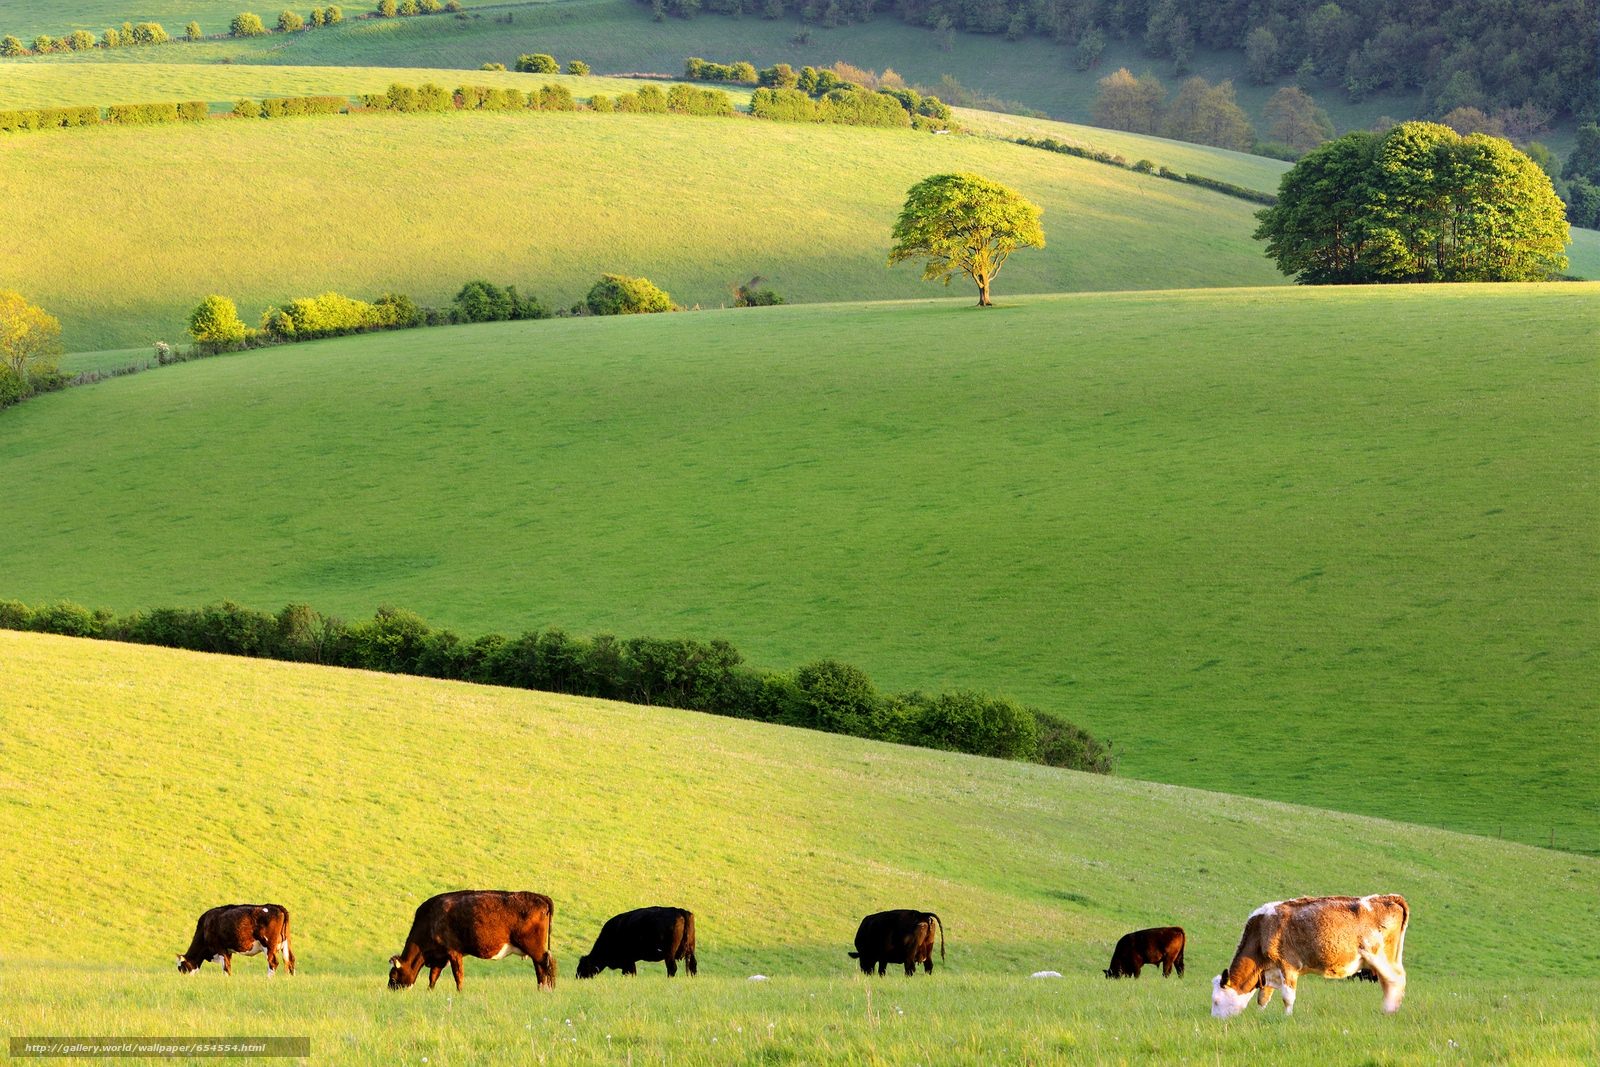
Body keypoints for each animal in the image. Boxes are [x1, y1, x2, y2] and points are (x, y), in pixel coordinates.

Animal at [385, 883, 556, 991]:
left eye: (393, 977)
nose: (390, 991)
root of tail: (541, 897)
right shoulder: (440, 957)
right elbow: (433, 976)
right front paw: (430, 991)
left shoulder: (453, 952)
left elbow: (458, 975)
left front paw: (459, 992)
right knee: (543, 967)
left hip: (535, 947)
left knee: (547, 965)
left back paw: (545, 990)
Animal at [1209, 895, 1414, 1017]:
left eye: (1216, 1001)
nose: (1215, 1020)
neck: (1262, 930)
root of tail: (1388, 898)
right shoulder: (1269, 972)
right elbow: (1263, 998)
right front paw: (1261, 1015)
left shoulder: (1287, 965)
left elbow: (1287, 997)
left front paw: (1287, 1018)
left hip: (1380, 957)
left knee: (1395, 981)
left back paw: (1389, 1011)